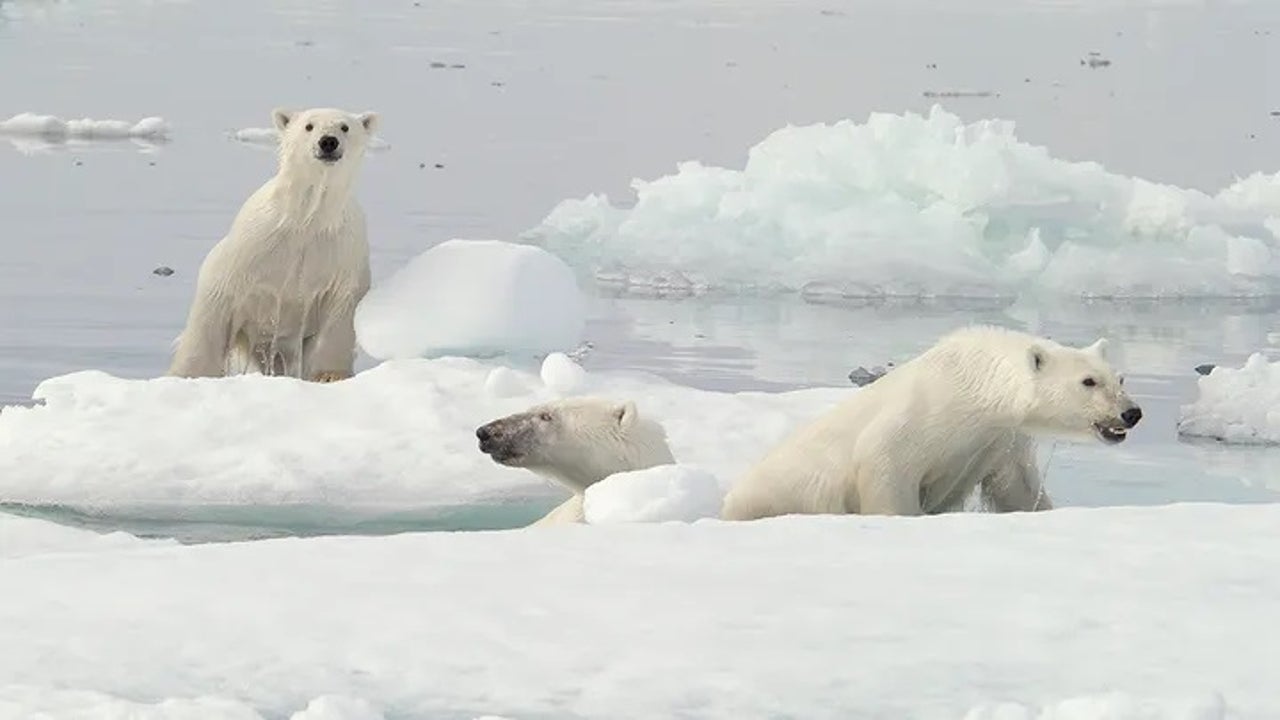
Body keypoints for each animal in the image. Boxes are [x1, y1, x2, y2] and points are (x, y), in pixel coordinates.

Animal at [165, 105, 376, 381]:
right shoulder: (249, 248)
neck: (306, 219)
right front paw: (191, 374)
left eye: (345, 127)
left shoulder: (340, 254)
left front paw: (330, 375)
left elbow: (341, 315)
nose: (328, 142)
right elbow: (214, 309)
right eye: (309, 126)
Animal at [721, 327, 1141, 517]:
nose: (1132, 413)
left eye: (1119, 378)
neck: (974, 384)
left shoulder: (1000, 438)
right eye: (1088, 381)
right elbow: (884, 466)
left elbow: (1016, 487)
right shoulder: (920, 416)